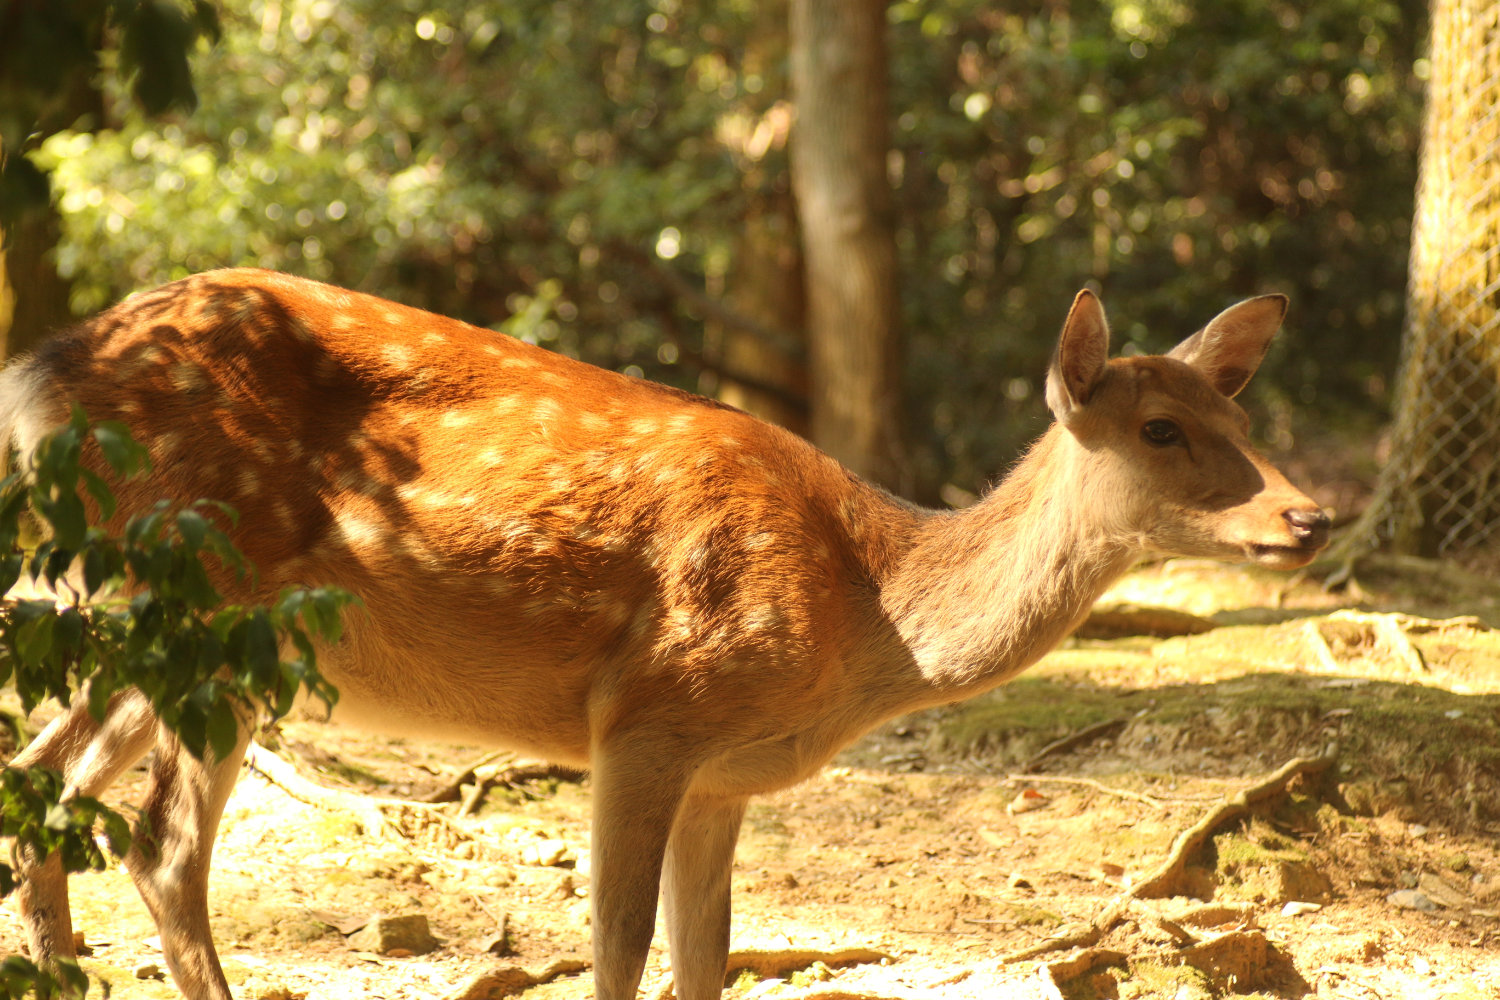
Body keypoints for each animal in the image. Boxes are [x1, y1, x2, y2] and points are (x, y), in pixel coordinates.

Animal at [0, 269, 1329, 1000]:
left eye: (1237, 412)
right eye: (1160, 427)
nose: (1307, 515)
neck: (864, 616)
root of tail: (47, 372)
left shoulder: (725, 774)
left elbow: (706, 957)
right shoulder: (648, 714)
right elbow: (621, 949)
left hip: (168, 616)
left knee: (47, 770)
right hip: (218, 590)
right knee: (162, 845)